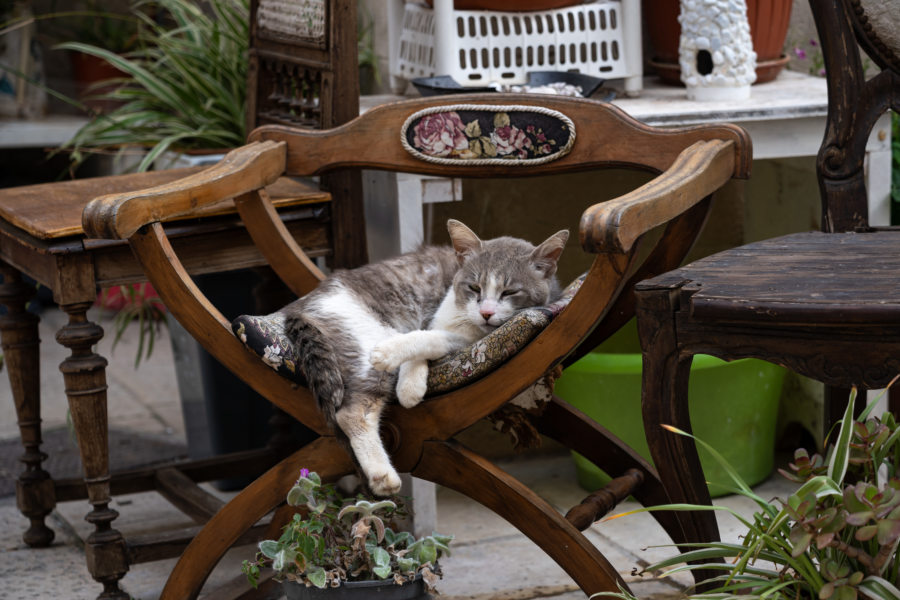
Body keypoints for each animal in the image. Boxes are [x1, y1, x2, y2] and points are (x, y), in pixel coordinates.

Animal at [284, 218, 568, 494]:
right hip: (366, 340)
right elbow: (426, 333)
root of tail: (296, 310)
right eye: (474, 287)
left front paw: (407, 379)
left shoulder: (465, 339)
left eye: (509, 292)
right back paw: (383, 475)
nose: (486, 313)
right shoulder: (438, 318)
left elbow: (430, 339)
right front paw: (404, 375)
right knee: (351, 413)